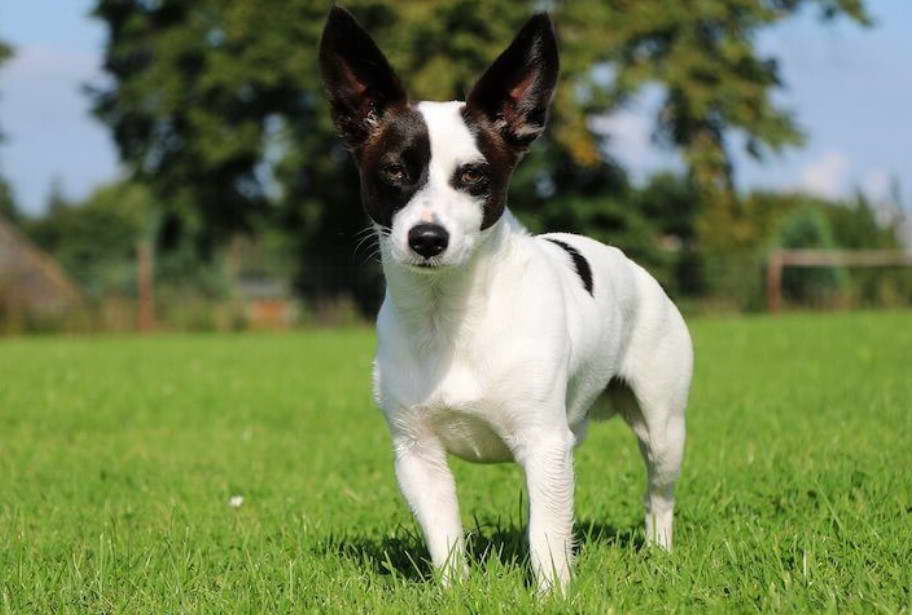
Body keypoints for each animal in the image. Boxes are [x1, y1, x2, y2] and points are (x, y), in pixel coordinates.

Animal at [318, 6, 692, 592]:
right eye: (394, 171)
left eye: (474, 175)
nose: (428, 238)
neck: (451, 318)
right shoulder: (417, 455)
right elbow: (447, 539)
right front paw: (454, 591)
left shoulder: (543, 444)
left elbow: (547, 539)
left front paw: (553, 593)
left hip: (662, 426)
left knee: (658, 498)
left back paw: (659, 552)